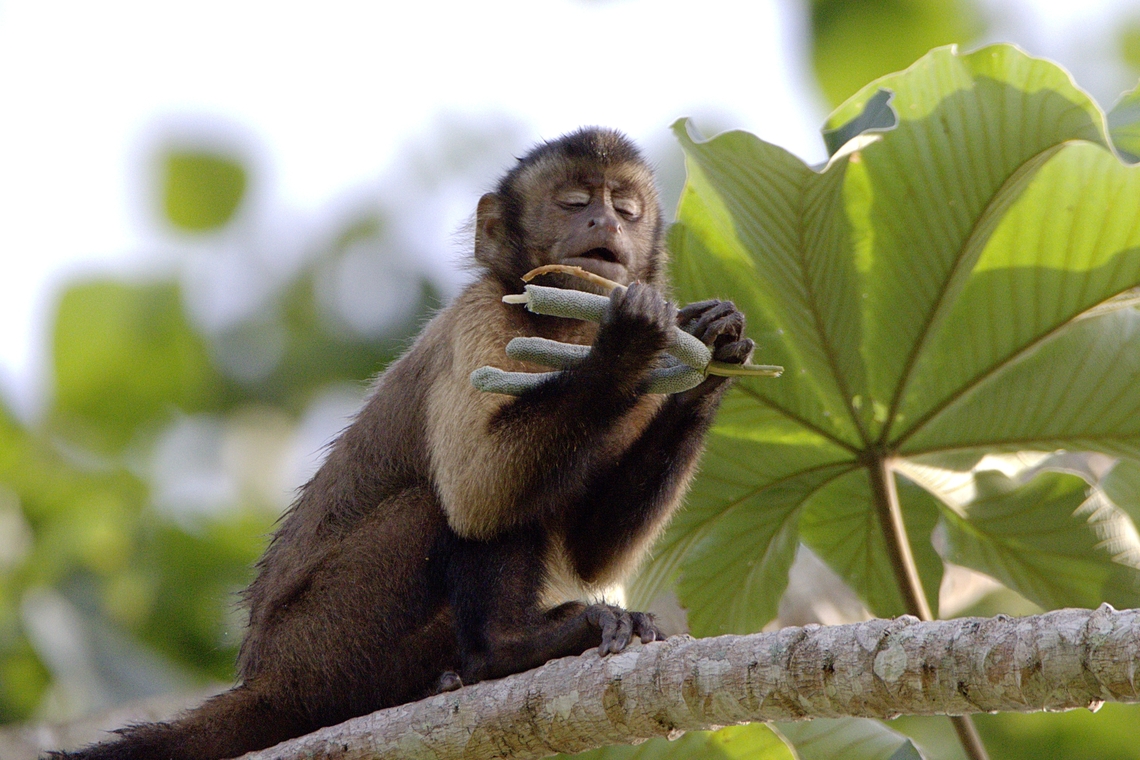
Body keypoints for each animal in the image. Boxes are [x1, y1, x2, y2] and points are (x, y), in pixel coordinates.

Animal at [53, 127, 754, 760]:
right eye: (574, 201)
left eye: (626, 208)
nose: (604, 221)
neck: (559, 325)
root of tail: (265, 677)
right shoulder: (483, 314)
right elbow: (478, 489)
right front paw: (627, 342)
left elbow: (592, 551)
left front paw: (711, 356)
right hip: (323, 645)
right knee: (446, 505)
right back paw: (504, 651)